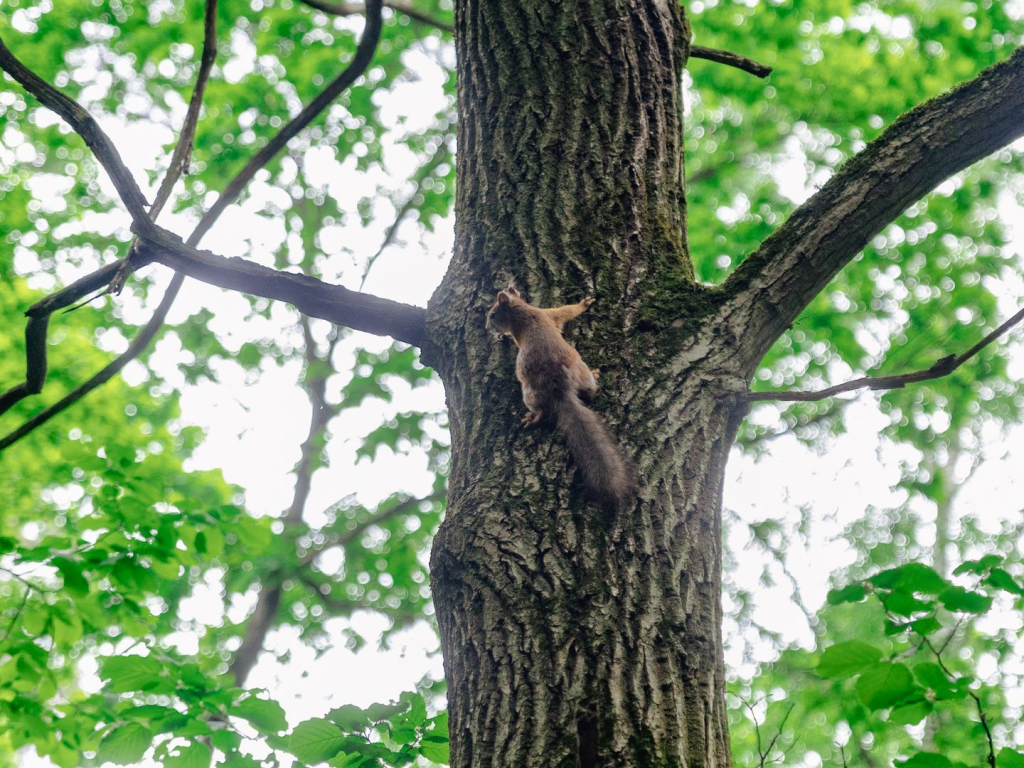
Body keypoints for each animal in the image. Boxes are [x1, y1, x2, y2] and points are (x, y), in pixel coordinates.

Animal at [485, 286, 634, 507]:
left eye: (493, 314)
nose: (489, 327)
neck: (522, 311)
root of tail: (559, 388)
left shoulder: (546, 314)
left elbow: (567, 311)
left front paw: (583, 304)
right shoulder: (548, 315)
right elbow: (567, 312)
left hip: (533, 391)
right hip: (575, 372)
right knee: (583, 395)